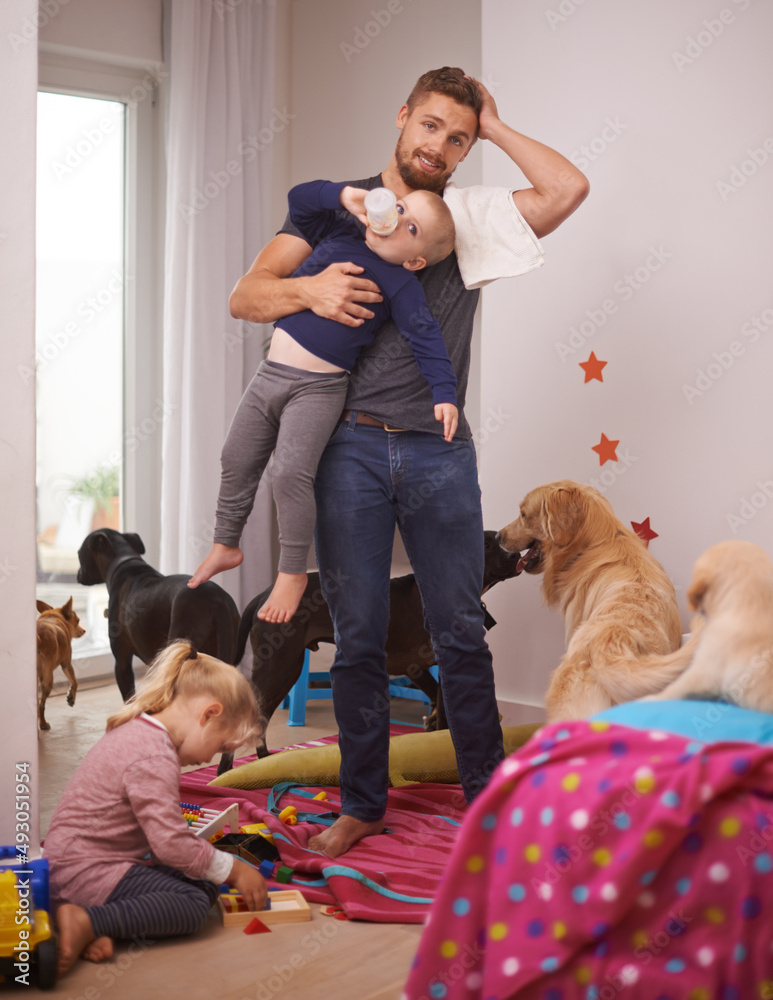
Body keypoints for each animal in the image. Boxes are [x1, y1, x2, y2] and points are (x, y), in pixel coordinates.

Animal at [76, 528, 238, 700]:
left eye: (79, 553)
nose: (78, 575)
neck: (123, 562)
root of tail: (217, 600)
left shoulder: (121, 662)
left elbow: (129, 696)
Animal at [222, 532, 520, 764]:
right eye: (486, 544)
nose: (518, 554)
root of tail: (264, 594)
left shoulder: (418, 669)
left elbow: (438, 707)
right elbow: (445, 716)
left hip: (287, 669)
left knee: (260, 719)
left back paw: (261, 761)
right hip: (278, 669)